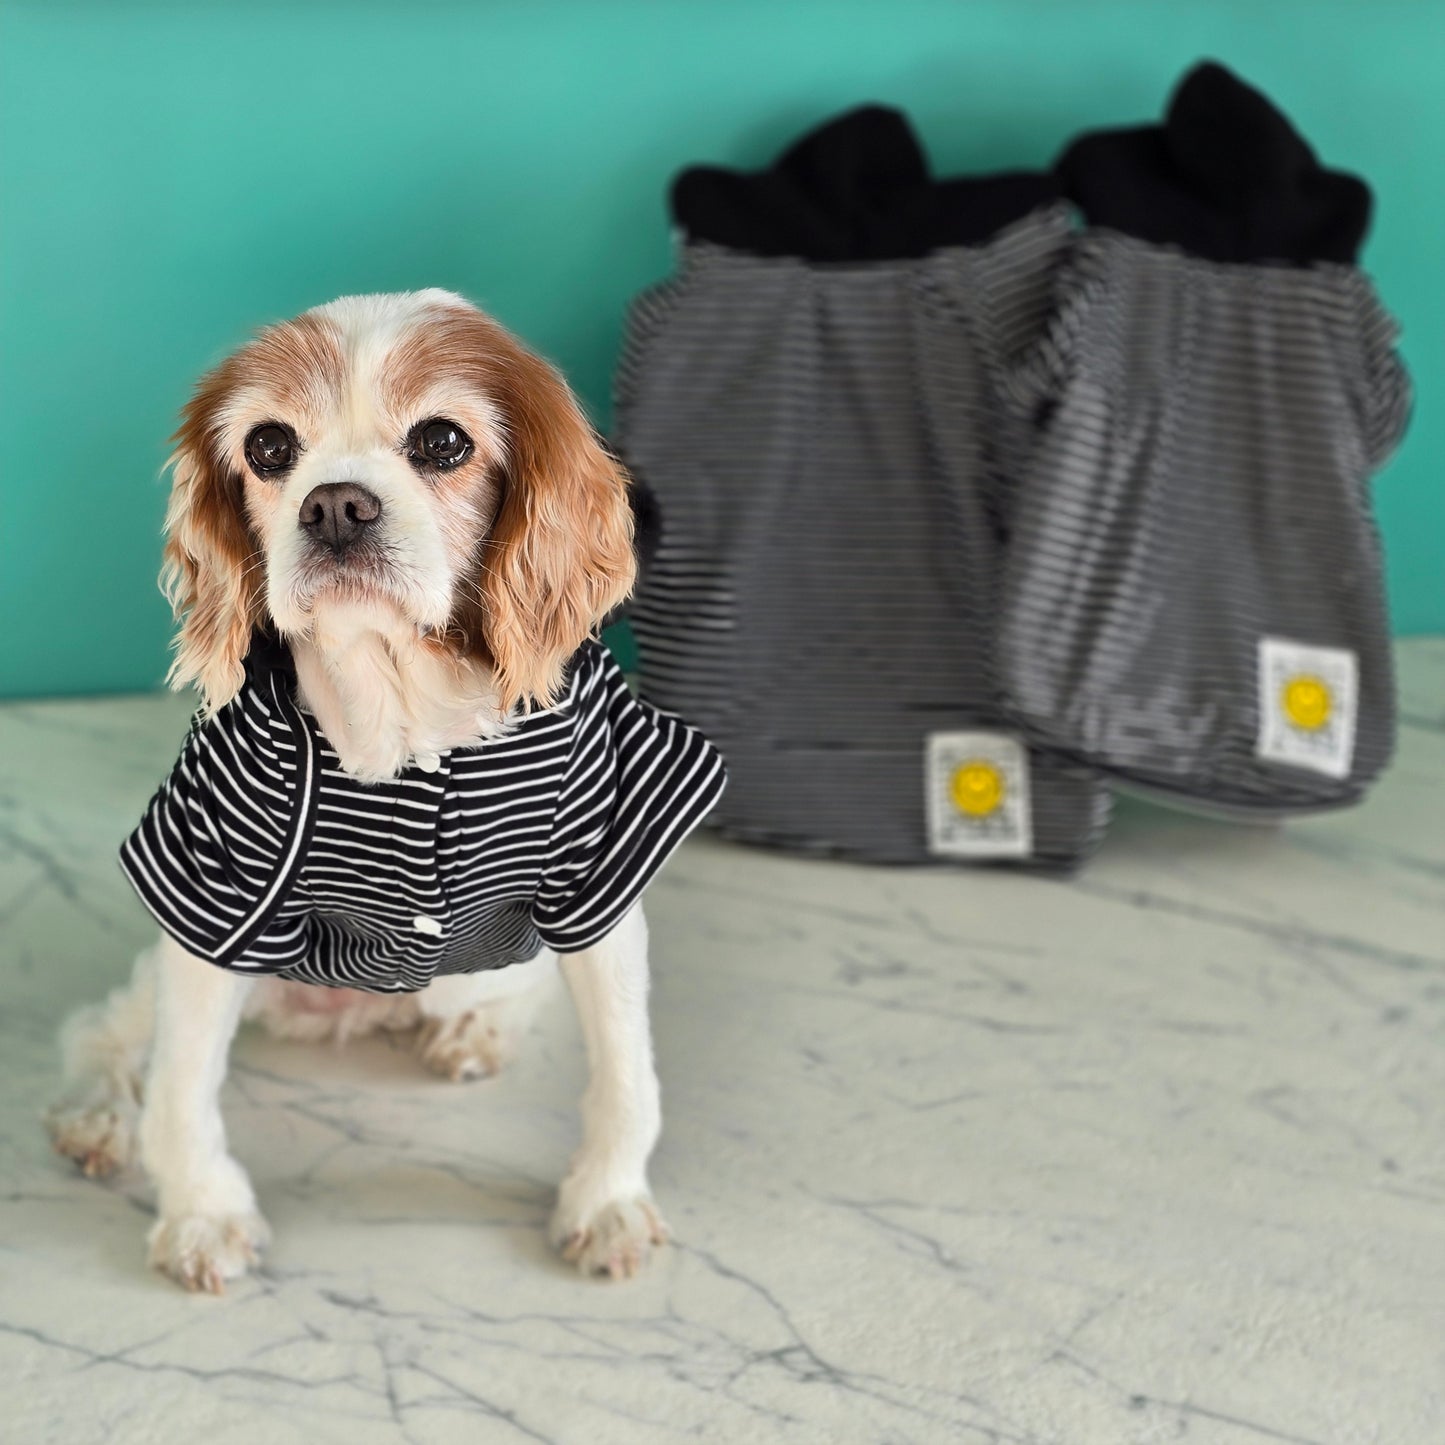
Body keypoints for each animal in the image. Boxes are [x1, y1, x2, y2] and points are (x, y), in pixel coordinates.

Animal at [45, 287, 722, 1294]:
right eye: (269, 447)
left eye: (441, 441)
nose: (334, 504)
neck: (398, 697)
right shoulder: (212, 894)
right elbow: (180, 1082)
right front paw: (201, 1211)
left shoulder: (600, 872)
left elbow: (624, 1071)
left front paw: (605, 1201)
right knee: (107, 1030)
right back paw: (95, 1111)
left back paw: (473, 1028)